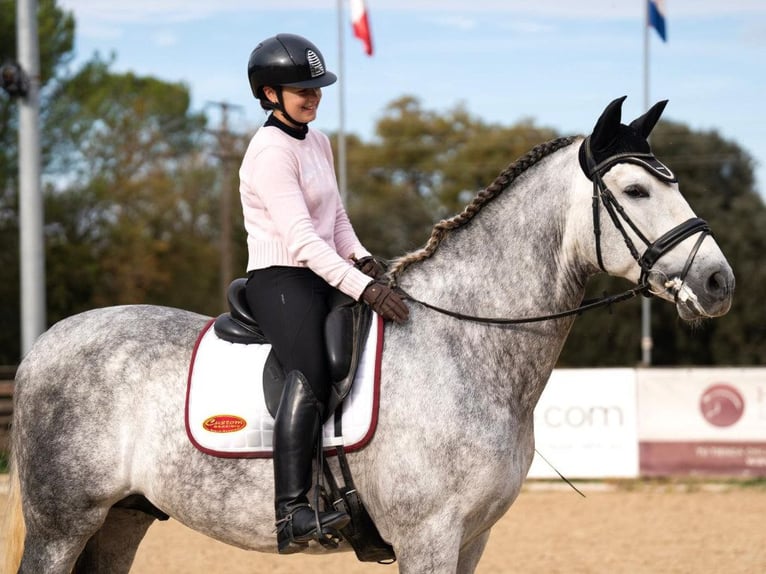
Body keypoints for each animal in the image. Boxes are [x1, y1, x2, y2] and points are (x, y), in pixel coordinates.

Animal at [1, 97, 736, 572]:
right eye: (637, 191)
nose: (719, 282)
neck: (462, 347)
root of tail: (44, 345)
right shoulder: (429, 538)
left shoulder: (471, 540)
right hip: (61, 525)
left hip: (120, 519)